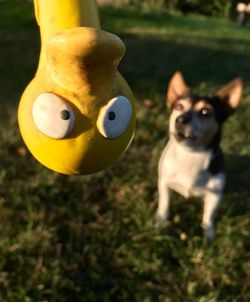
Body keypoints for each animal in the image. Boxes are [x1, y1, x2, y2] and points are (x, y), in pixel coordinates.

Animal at [156, 72, 242, 239]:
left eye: (205, 112)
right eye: (178, 106)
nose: (180, 120)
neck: (190, 155)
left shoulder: (215, 195)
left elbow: (209, 214)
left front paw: (209, 234)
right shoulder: (163, 182)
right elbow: (164, 202)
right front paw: (161, 221)